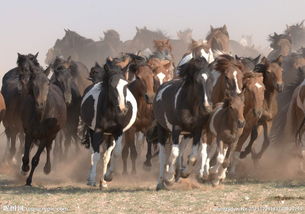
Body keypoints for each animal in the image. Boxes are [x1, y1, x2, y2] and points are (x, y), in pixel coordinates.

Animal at [81, 59, 138, 188]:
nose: (123, 109)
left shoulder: (118, 132)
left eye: (126, 85)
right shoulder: (97, 131)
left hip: (109, 136)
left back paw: (103, 182)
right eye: (112, 85)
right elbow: (96, 155)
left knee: (107, 156)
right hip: (93, 132)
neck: (111, 113)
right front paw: (92, 180)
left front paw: (108, 176)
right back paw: (91, 179)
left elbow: (115, 153)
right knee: (93, 153)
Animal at [153, 56, 210, 191]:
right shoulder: (176, 129)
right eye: (197, 80)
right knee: (163, 155)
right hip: (162, 129)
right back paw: (161, 182)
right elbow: (173, 154)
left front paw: (184, 173)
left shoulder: (196, 130)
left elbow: (193, 156)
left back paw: (178, 173)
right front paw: (169, 179)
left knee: (181, 151)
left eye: (209, 78)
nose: (207, 107)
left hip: (187, 134)